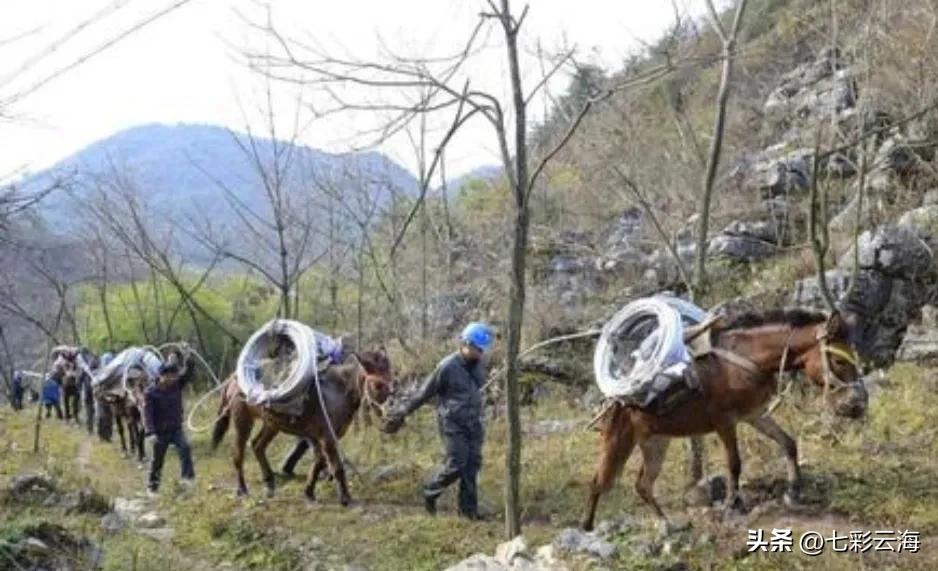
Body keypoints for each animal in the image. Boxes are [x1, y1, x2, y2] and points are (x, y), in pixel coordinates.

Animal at [211, 348, 394, 505]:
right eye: (377, 385)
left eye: (393, 380)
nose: (390, 416)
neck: (340, 389)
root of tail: (233, 379)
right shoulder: (327, 438)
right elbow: (336, 467)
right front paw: (345, 497)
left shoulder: (323, 438)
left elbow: (317, 465)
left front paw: (309, 493)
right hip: (242, 421)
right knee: (238, 454)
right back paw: (242, 489)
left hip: (272, 424)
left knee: (257, 446)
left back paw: (270, 483)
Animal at [582, 309, 868, 534]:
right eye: (839, 361)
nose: (857, 405)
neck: (748, 358)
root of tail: (613, 398)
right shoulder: (725, 422)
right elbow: (734, 463)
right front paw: (733, 505)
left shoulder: (755, 415)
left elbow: (788, 443)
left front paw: (793, 491)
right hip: (618, 441)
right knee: (598, 482)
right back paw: (587, 527)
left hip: (656, 442)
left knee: (643, 485)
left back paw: (668, 524)